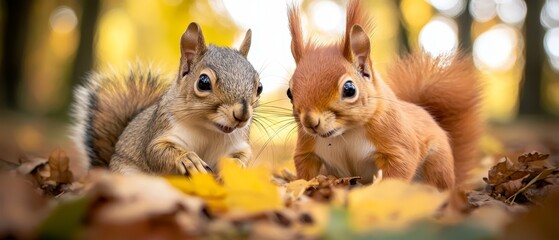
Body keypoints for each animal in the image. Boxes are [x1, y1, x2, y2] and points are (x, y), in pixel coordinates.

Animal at [286, 0, 484, 189]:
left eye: (349, 89)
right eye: (289, 93)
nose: (310, 122)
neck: (345, 133)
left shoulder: (396, 139)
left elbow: (400, 165)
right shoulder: (307, 148)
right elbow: (305, 173)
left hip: (437, 163)